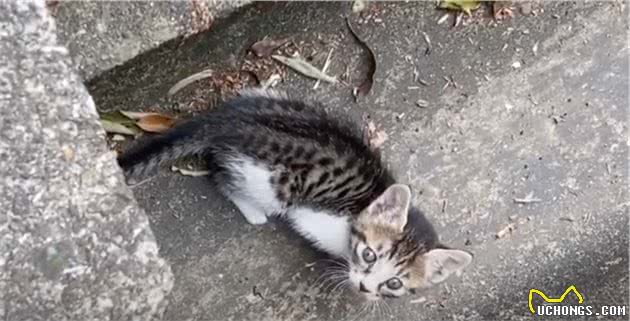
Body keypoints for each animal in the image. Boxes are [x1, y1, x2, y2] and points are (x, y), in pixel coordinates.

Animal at [118, 88, 474, 300]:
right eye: (369, 255)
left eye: (395, 283)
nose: (364, 287)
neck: (365, 203)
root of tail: (230, 120)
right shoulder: (313, 217)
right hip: (273, 182)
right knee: (223, 175)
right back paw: (252, 209)